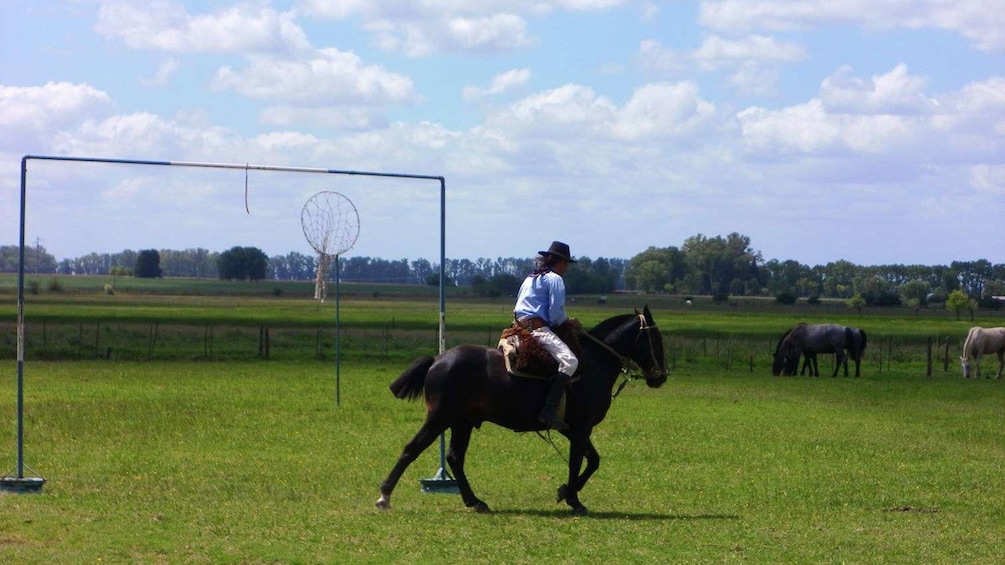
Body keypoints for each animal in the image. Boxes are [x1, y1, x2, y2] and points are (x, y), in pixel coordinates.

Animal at [377, 305, 667, 512]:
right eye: (656, 338)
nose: (661, 377)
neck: (594, 362)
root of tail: (438, 359)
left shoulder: (572, 429)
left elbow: (592, 460)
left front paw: (566, 492)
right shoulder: (580, 427)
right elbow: (580, 462)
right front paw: (573, 499)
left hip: (462, 422)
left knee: (455, 458)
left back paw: (475, 501)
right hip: (441, 417)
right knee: (412, 449)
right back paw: (384, 496)